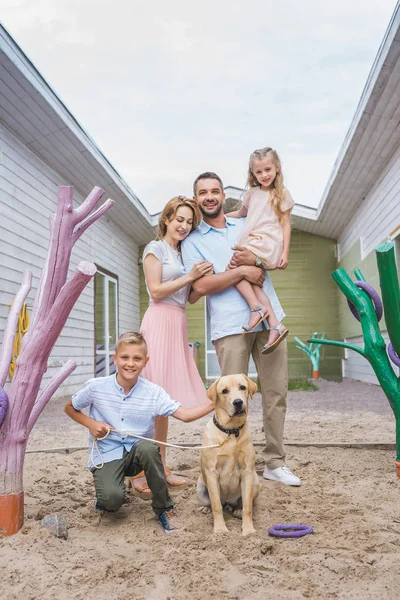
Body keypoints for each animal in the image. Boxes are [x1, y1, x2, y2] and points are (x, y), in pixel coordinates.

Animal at [196, 376, 260, 536]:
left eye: (243, 387)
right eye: (224, 391)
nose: (238, 402)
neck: (231, 431)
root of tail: (228, 503)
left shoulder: (247, 471)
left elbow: (248, 507)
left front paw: (248, 530)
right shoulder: (212, 472)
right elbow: (216, 505)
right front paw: (220, 529)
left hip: (256, 481)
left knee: (247, 503)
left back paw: (237, 510)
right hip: (200, 486)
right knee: (214, 503)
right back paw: (206, 508)